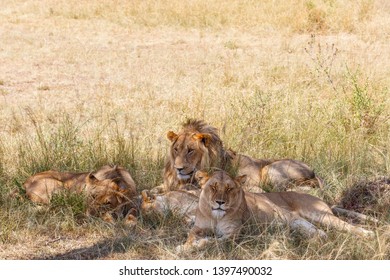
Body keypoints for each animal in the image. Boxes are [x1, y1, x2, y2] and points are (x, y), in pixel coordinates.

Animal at [178, 171, 374, 252]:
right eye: (213, 187)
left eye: (229, 189)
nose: (220, 202)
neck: (215, 216)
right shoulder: (197, 228)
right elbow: (191, 237)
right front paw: (186, 246)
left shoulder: (233, 236)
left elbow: (211, 242)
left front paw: (192, 246)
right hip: (298, 222)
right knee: (320, 233)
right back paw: (318, 241)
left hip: (320, 215)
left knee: (348, 226)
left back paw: (368, 234)